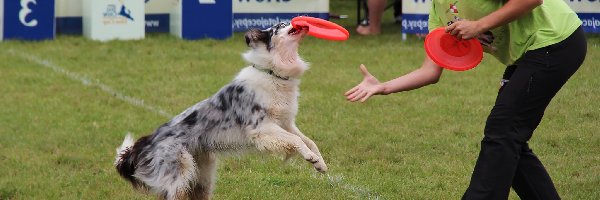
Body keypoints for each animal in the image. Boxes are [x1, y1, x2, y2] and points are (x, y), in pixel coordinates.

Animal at [112, 22, 328, 199]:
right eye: (281, 26)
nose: (300, 22)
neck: (272, 73)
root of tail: (144, 144)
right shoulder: (262, 129)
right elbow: (296, 141)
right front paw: (310, 157)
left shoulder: (285, 123)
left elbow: (309, 141)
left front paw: (320, 162)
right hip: (179, 179)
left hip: (201, 179)